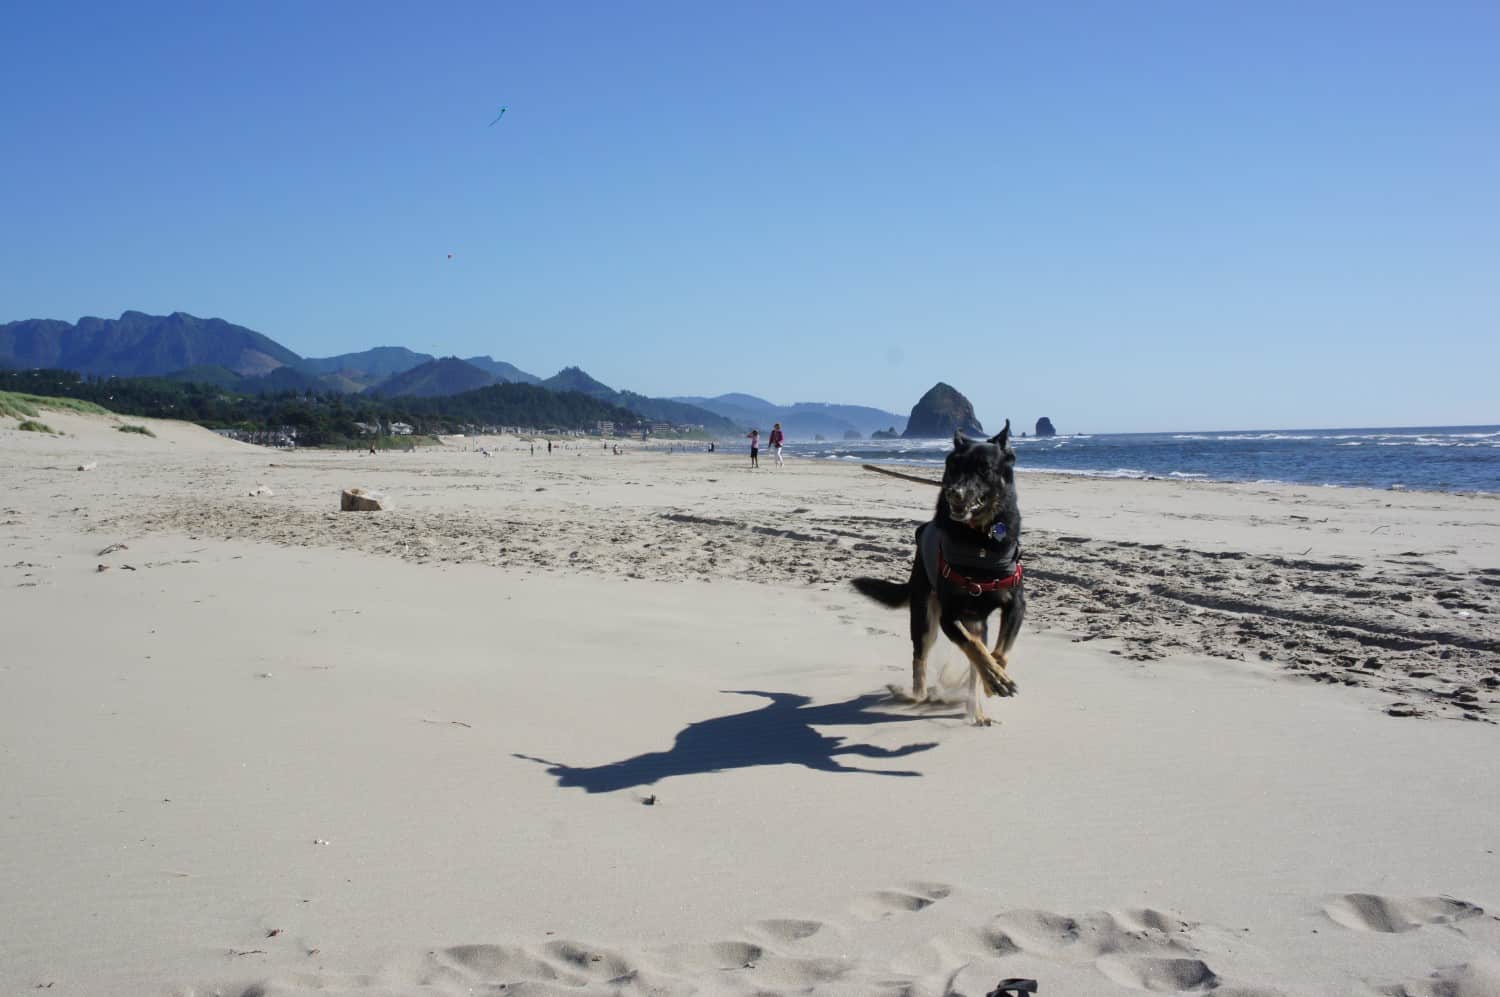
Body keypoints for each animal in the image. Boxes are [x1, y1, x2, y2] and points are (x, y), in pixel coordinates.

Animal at [852, 419, 1026, 722]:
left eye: (984, 469)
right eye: (953, 467)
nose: (953, 492)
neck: (980, 541)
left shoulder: (1015, 604)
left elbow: (997, 652)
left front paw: (994, 679)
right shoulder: (949, 616)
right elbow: (975, 648)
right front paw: (995, 679)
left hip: (974, 621)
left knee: (975, 654)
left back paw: (976, 709)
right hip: (924, 617)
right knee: (920, 657)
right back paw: (919, 695)